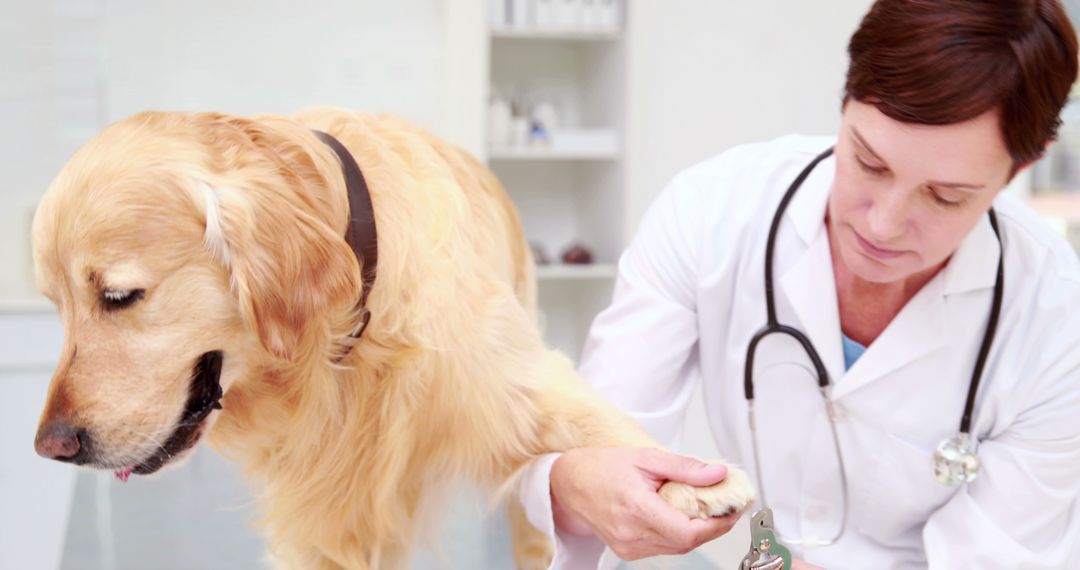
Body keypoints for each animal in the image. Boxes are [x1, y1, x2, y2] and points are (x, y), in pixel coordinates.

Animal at [27, 107, 751, 570]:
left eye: (118, 296)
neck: (346, 340)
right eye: (56, 305)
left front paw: (698, 482)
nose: (51, 447)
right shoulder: (317, 513)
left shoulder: (503, 378)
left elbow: (600, 417)